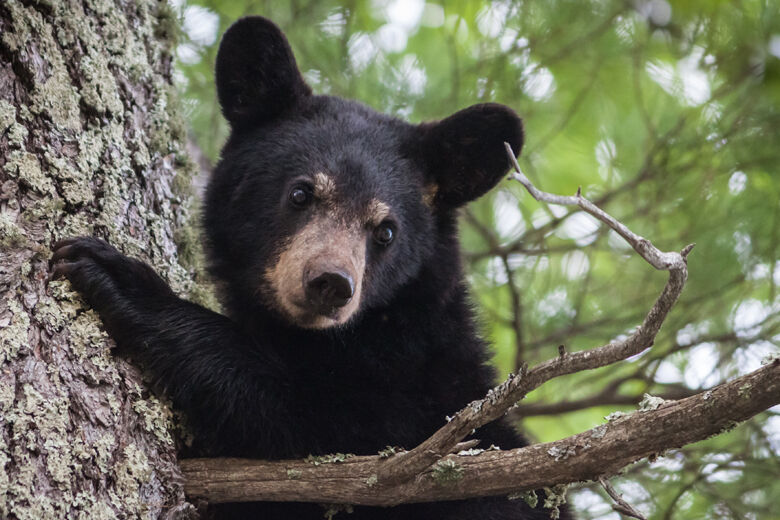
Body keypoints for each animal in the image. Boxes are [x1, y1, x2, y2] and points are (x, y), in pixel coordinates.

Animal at [50, 16, 572, 520]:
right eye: (301, 193)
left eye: (386, 231)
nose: (331, 284)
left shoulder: (409, 415)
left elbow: (303, 419)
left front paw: (122, 280)